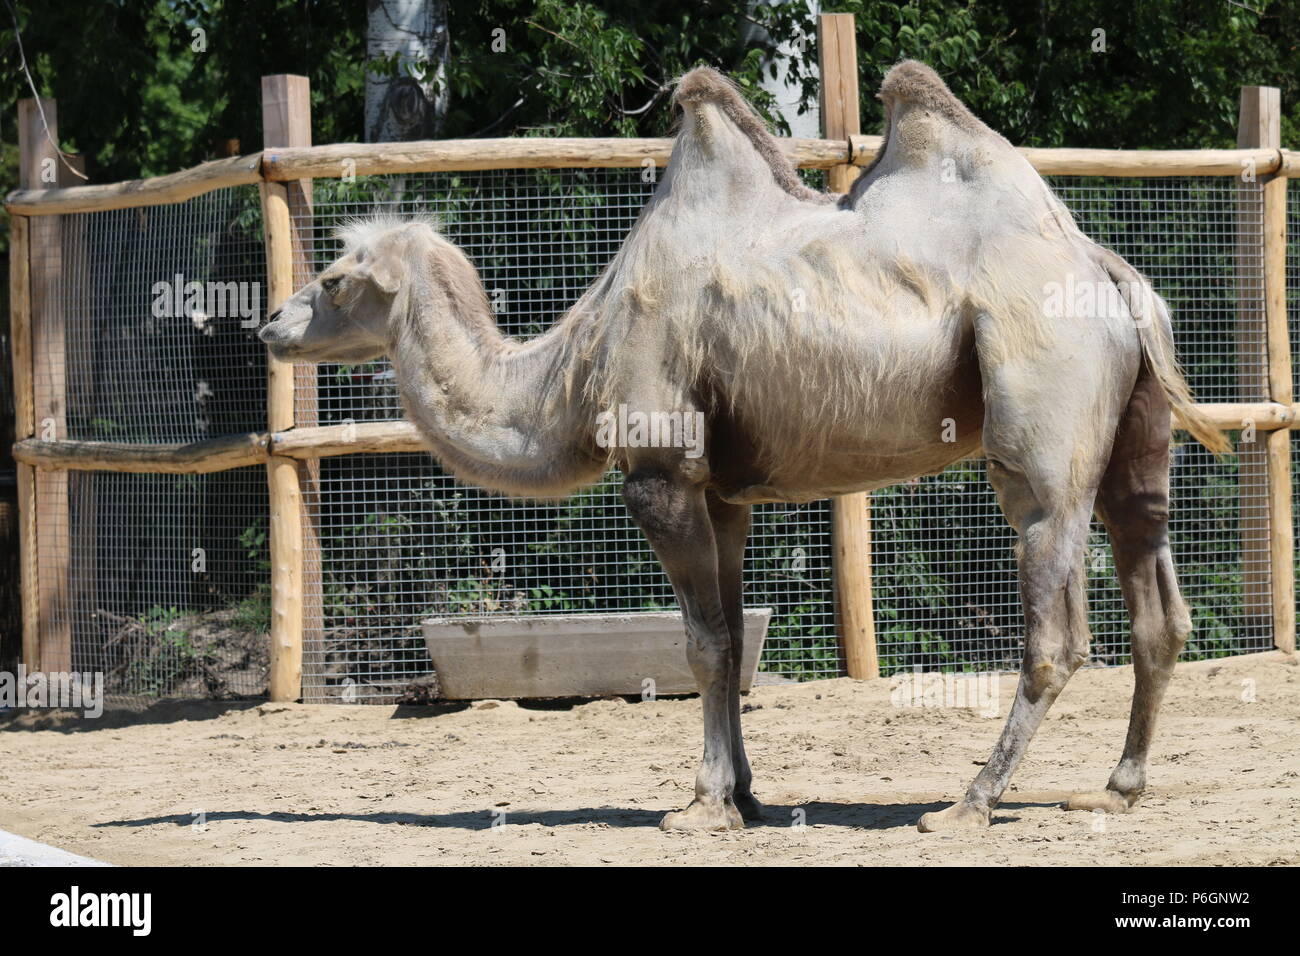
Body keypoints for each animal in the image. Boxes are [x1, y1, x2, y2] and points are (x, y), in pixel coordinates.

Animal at [261, 61, 1227, 832]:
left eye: (336, 279)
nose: (268, 322)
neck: (577, 361)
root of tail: (1114, 276)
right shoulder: (722, 492)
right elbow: (726, 638)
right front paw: (743, 796)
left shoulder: (657, 471)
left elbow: (702, 647)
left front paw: (696, 807)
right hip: (1135, 435)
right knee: (1156, 594)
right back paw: (1117, 788)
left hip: (1041, 424)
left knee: (1056, 621)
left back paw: (967, 804)